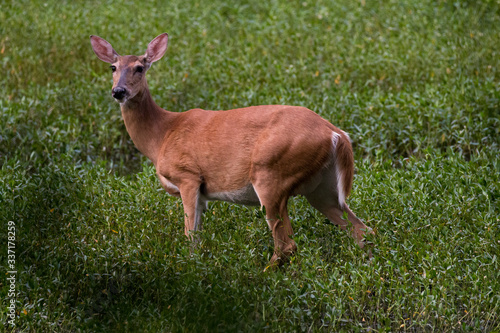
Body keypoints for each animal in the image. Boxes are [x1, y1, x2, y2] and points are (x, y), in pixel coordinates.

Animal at [90, 33, 374, 268]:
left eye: (140, 67)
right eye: (113, 67)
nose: (118, 91)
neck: (161, 136)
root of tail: (335, 133)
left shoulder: (188, 176)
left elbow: (190, 235)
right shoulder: (203, 193)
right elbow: (198, 235)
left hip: (271, 173)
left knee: (287, 244)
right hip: (321, 186)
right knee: (361, 230)